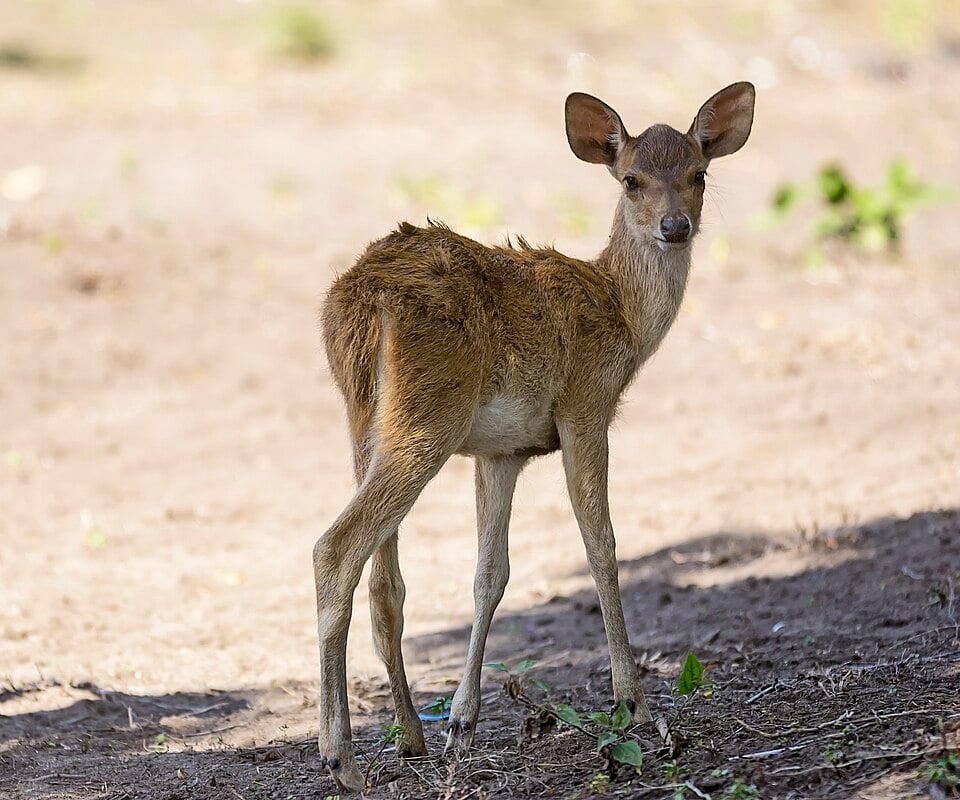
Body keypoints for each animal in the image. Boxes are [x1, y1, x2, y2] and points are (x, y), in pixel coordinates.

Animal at [313, 82, 755, 792]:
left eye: (699, 174)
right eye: (630, 179)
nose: (675, 226)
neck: (623, 317)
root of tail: (362, 301)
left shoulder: (502, 452)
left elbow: (489, 572)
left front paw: (462, 723)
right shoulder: (586, 406)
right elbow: (602, 544)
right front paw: (635, 702)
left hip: (363, 420)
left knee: (384, 582)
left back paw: (408, 737)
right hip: (428, 416)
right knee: (335, 549)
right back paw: (342, 759)